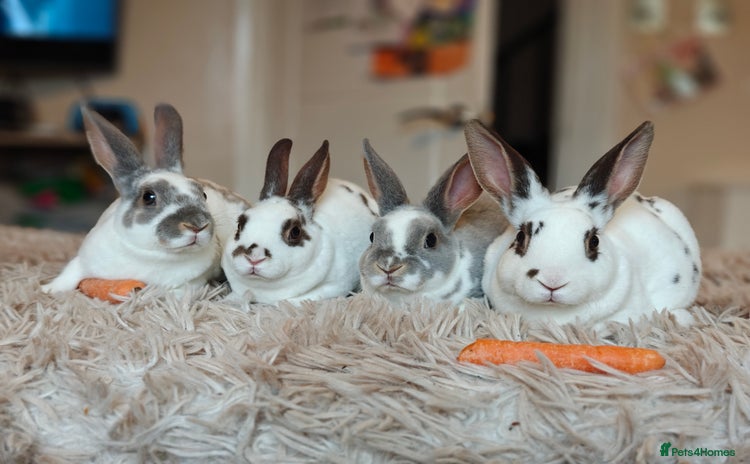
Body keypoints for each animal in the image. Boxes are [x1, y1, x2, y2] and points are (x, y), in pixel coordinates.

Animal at [42, 103, 250, 294]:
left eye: (203, 194)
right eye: (149, 197)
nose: (197, 225)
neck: (152, 254)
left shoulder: (192, 283)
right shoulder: (83, 260)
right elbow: (69, 273)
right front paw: (48, 290)